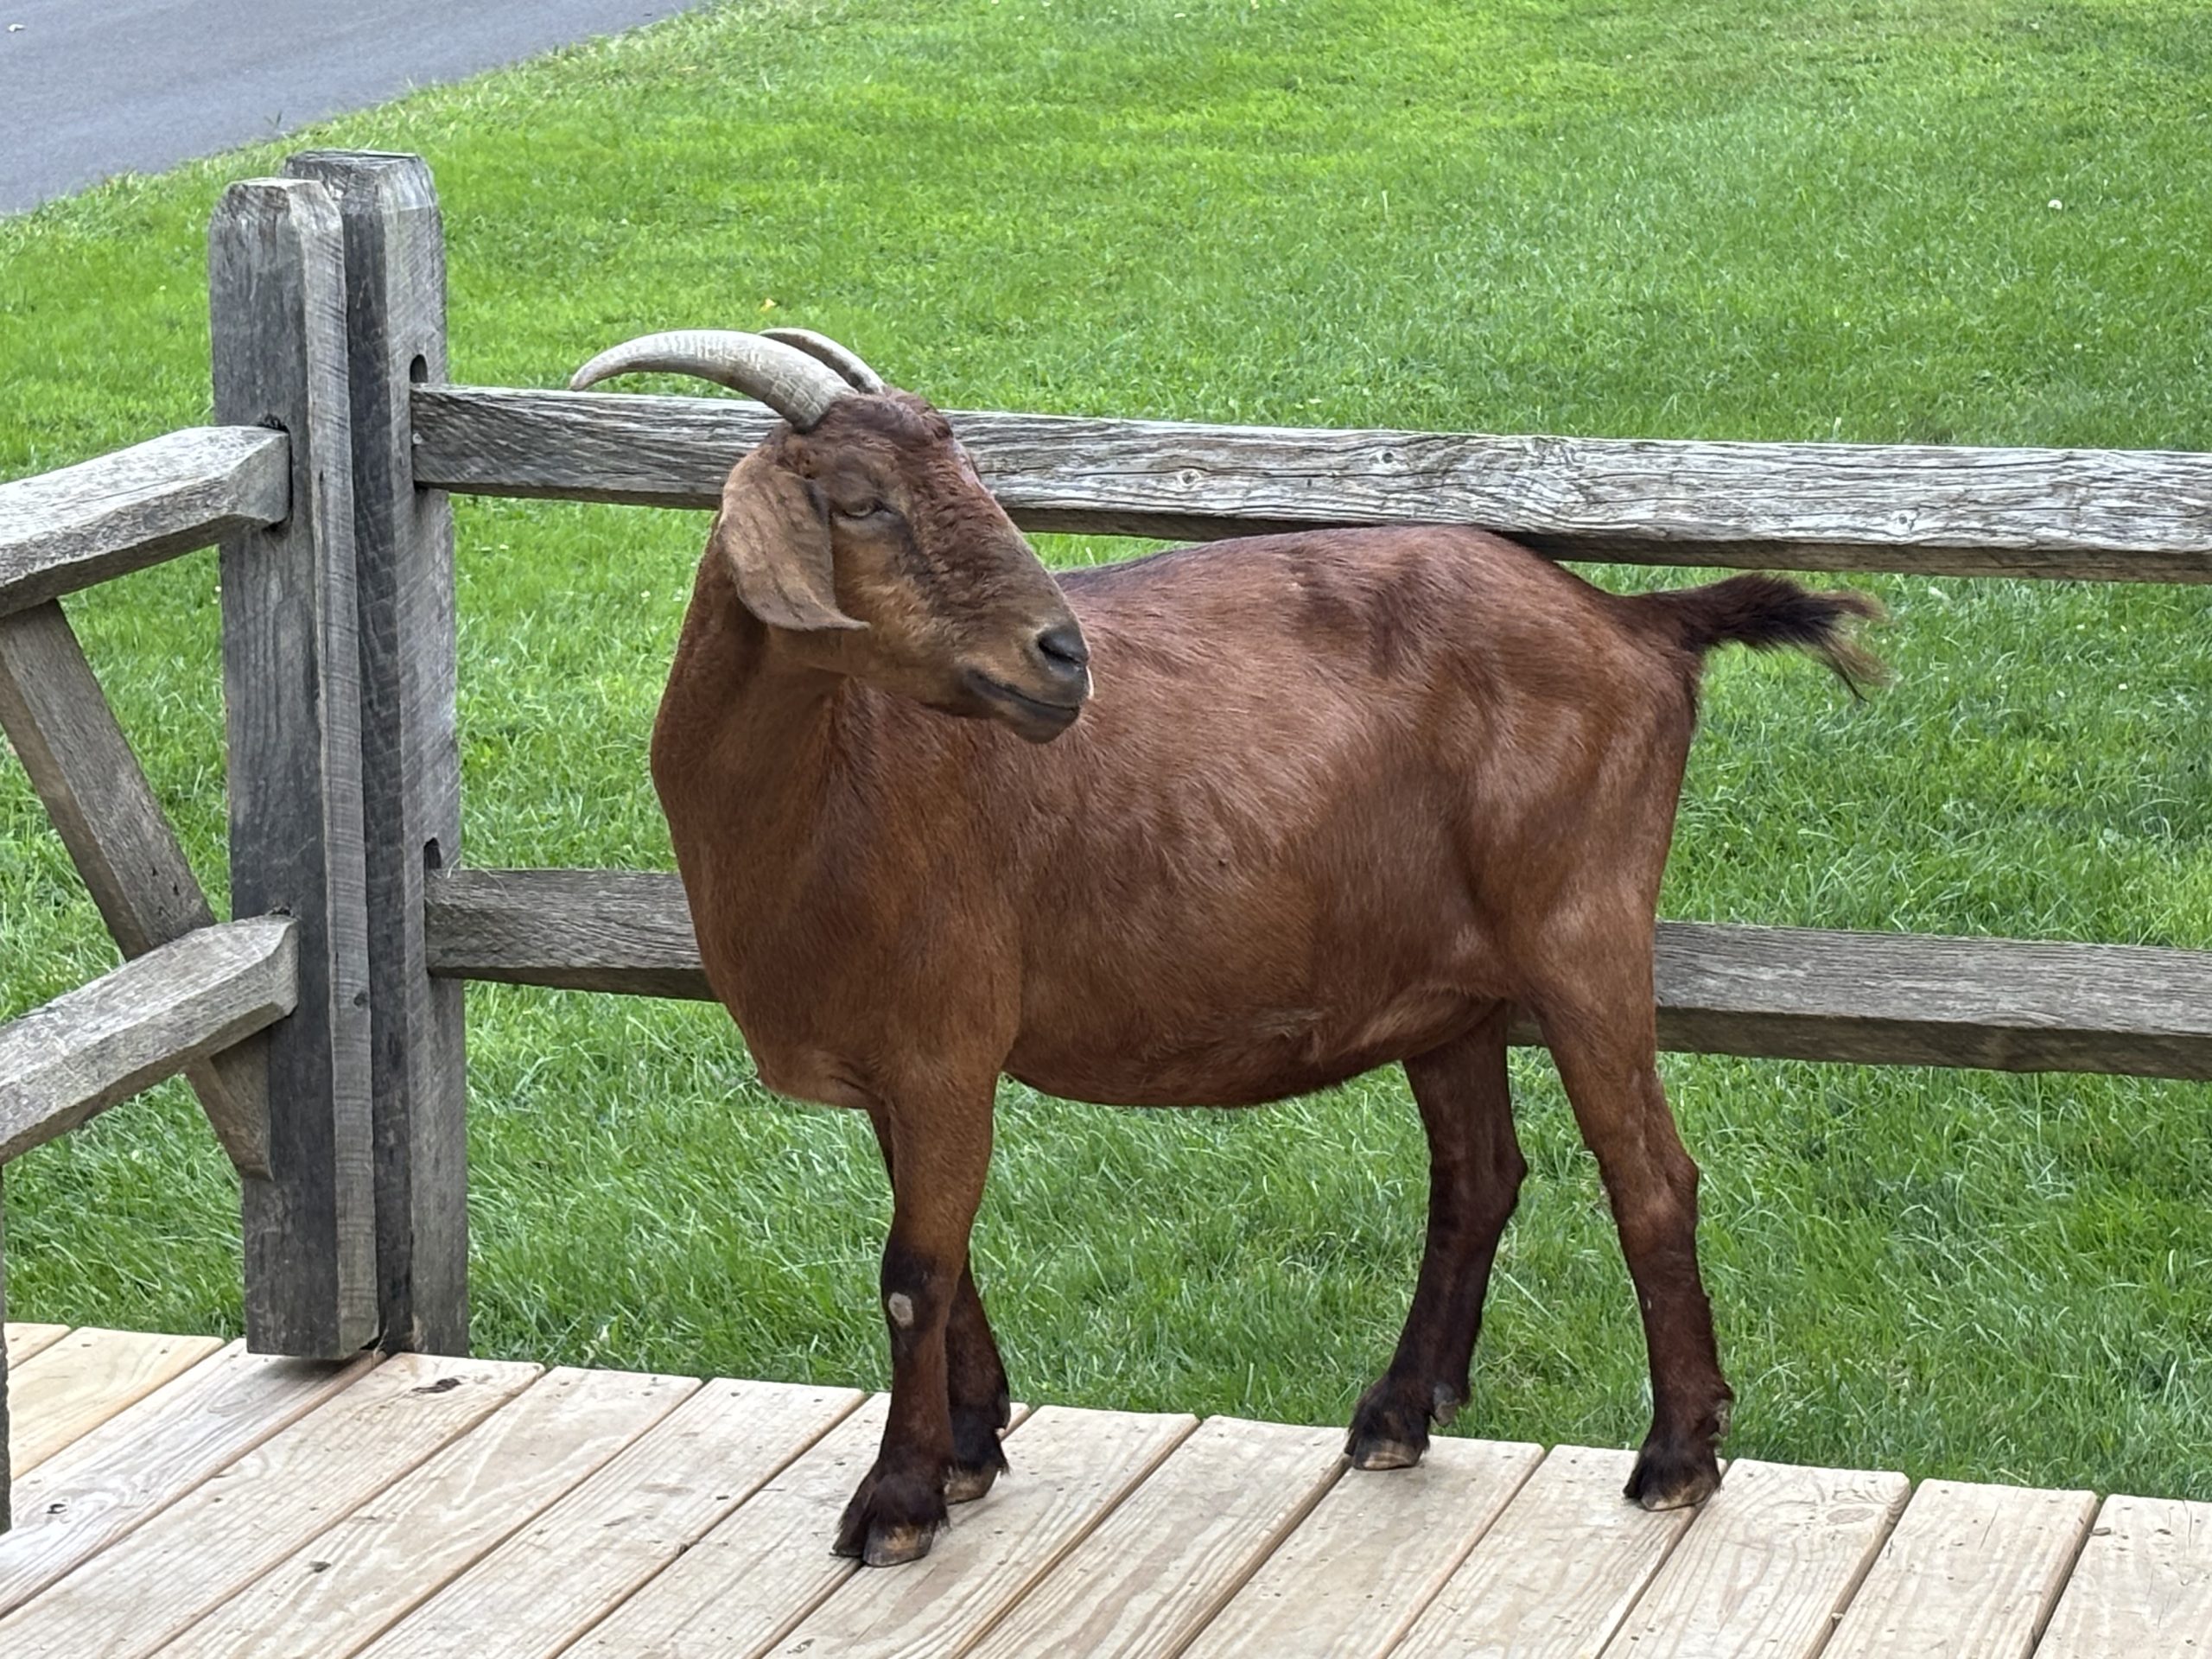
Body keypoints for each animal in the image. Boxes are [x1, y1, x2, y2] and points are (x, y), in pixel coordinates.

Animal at [569, 327, 1882, 1567]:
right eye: (859, 500)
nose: (1063, 658)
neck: (841, 779)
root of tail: (1637, 621)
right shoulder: (905, 1060)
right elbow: (946, 1254)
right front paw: (971, 1446)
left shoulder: (945, 1043)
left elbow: (913, 1274)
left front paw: (896, 1503)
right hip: (1449, 988)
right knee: (1477, 1177)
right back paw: (1398, 1413)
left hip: (1583, 926)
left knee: (1650, 1174)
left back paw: (1677, 1456)